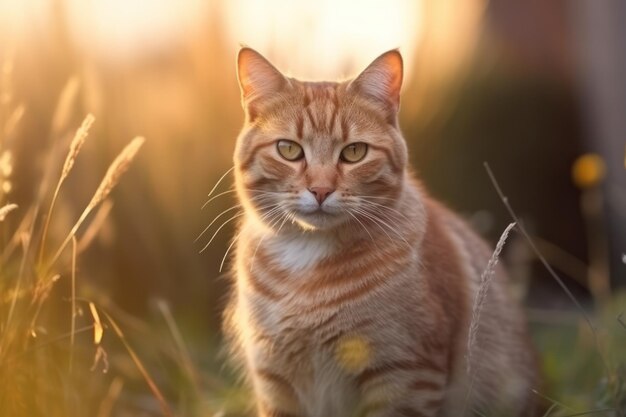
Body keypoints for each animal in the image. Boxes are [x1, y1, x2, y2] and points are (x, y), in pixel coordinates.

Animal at [222, 47, 540, 414]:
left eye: (354, 152)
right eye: (288, 149)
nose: (320, 190)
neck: (306, 263)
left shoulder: (407, 375)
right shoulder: (274, 382)